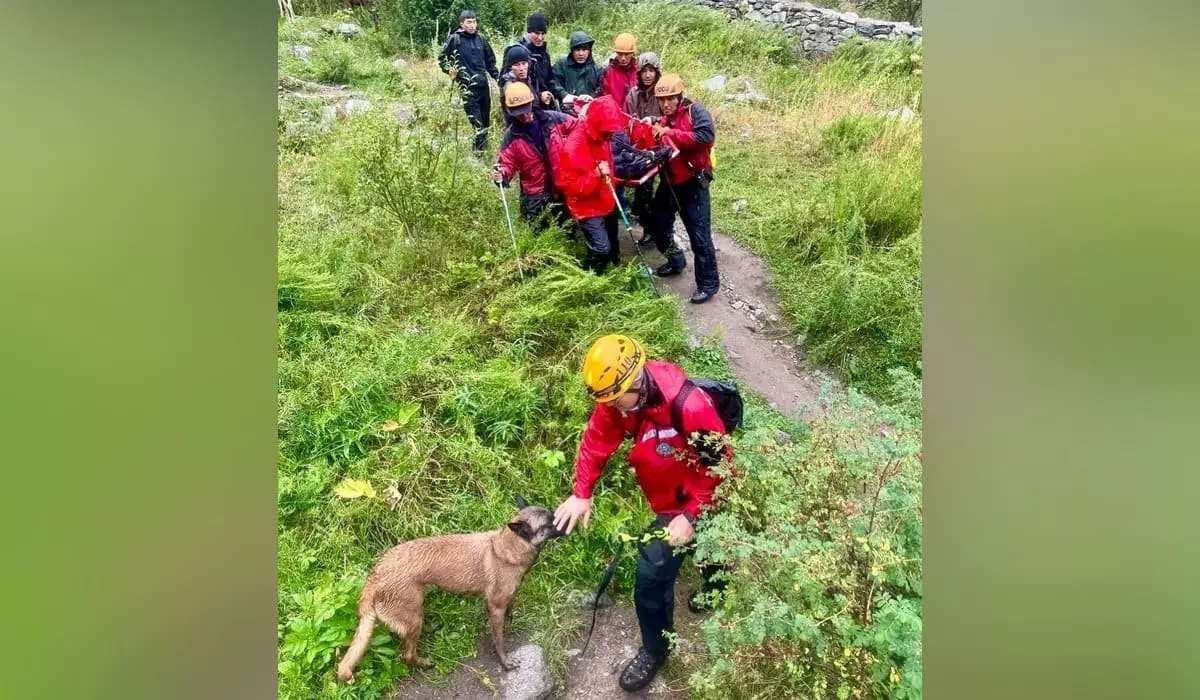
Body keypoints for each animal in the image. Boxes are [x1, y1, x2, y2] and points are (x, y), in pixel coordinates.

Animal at [336, 499, 564, 686]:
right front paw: (505, 662)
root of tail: (375, 576)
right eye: (549, 523)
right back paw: (423, 662)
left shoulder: (505, 599)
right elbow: (499, 639)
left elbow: (508, 612)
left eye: (553, 513)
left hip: (415, 612)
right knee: (407, 655)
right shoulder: (496, 606)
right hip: (413, 617)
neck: (507, 548)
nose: (566, 520)